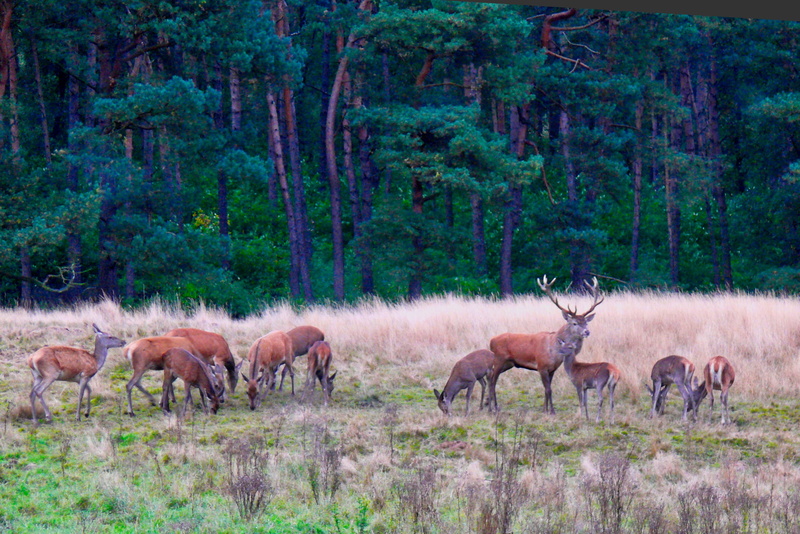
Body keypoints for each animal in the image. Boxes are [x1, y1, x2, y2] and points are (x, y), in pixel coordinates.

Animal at [486, 275, 604, 414]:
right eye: (574, 323)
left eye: (586, 322)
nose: (587, 331)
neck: (554, 351)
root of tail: (491, 341)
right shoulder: (541, 366)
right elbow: (548, 389)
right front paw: (551, 411)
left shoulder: (552, 369)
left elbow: (547, 389)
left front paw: (545, 408)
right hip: (499, 359)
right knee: (492, 380)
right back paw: (493, 408)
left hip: (508, 363)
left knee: (491, 378)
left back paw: (490, 405)